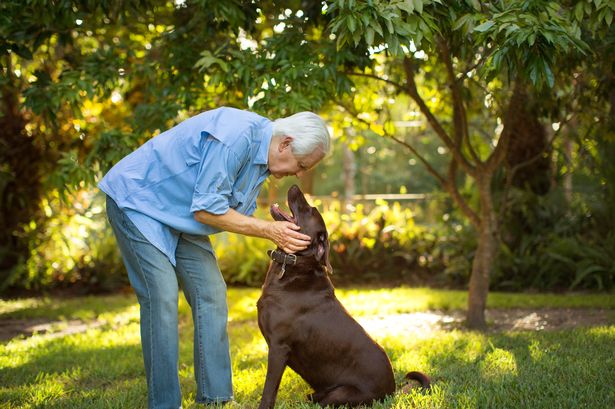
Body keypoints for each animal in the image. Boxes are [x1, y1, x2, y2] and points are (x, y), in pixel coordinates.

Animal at [255, 186, 428, 408]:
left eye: (310, 210)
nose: (295, 186)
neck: (296, 265)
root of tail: (392, 392)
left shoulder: (278, 348)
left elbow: (269, 391)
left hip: (340, 394)